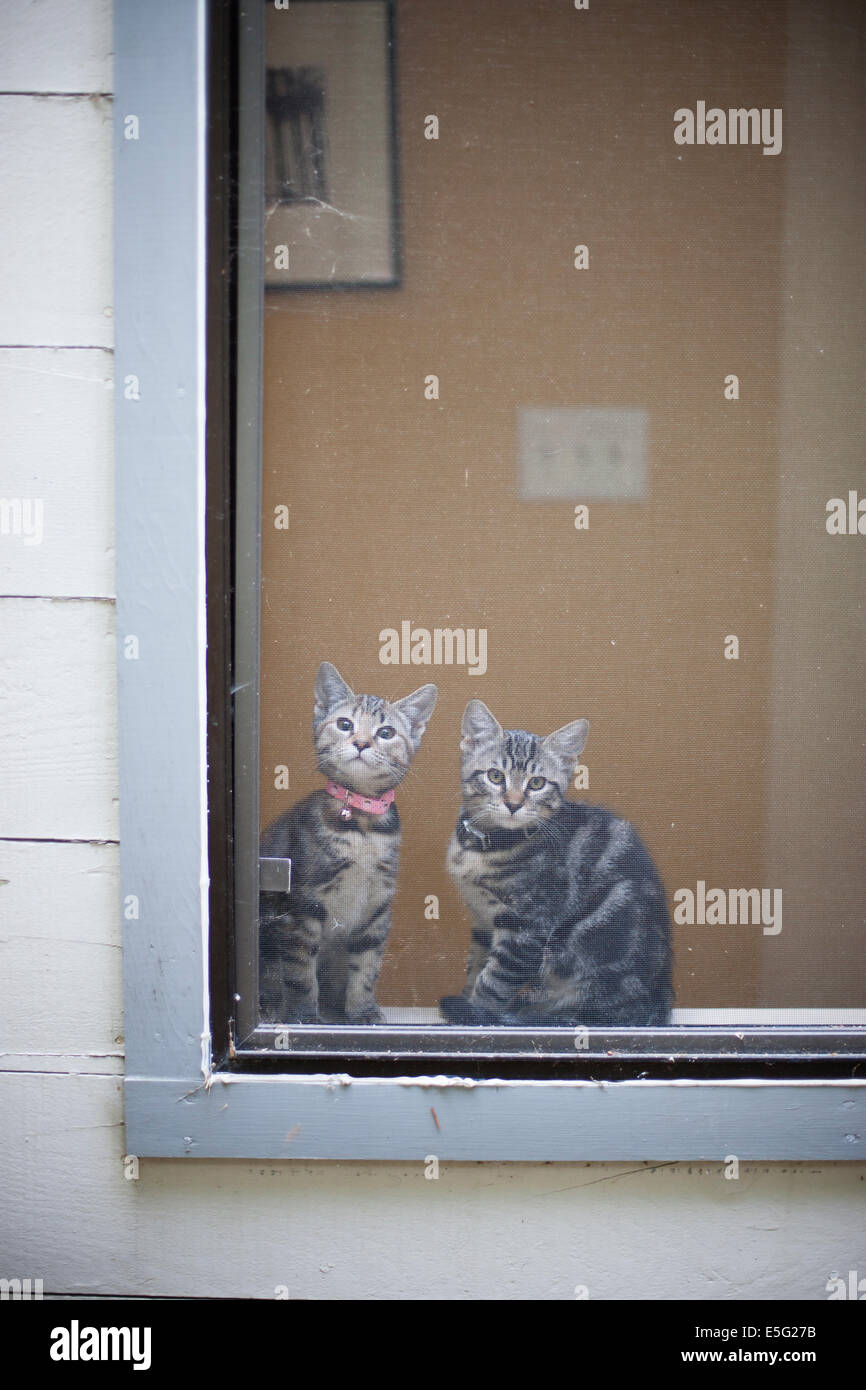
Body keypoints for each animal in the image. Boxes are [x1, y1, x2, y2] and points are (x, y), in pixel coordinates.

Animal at [255, 661, 433, 1023]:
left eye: (386, 733)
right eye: (344, 724)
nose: (362, 743)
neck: (362, 827)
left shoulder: (377, 905)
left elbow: (366, 967)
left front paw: (363, 1011)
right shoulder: (303, 905)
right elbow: (301, 972)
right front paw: (305, 1018)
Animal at [444, 700, 675, 1028]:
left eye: (537, 783)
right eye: (495, 776)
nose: (513, 804)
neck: (482, 847)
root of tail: (658, 1003)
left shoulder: (526, 928)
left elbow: (493, 982)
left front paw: (475, 1013)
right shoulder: (482, 920)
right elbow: (475, 965)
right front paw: (466, 999)